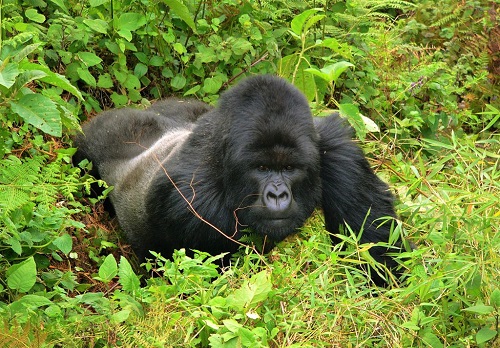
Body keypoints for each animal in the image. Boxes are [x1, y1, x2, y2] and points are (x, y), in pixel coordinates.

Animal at [73, 75, 402, 286]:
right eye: (261, 168)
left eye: (290, 168)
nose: (278, 195)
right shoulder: (192, 199)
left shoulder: (336, 149)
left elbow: (376, 249)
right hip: (91, 144)